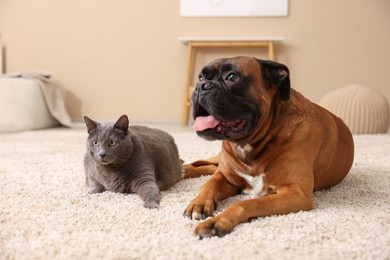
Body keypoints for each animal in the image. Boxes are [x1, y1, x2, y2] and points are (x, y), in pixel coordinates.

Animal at [182, 56, 354, 238]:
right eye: (201, 77)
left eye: (232, 77)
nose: (201, 86)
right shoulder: (226, 177)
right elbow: (209, 184)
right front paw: (198, 202)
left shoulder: (296, 193)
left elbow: (246, 204)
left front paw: (217, 221)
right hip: (220, 159)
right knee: (208, 165)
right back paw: (184, 169)